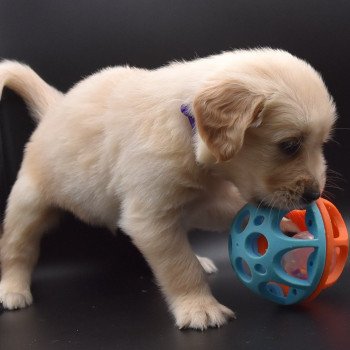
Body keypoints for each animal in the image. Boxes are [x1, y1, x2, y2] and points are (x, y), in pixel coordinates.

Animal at [0, 48, 334, 328]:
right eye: (289, 146)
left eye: (320, 143)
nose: (313, 195)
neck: (188, 127)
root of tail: (55, 107)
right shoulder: (150, 217)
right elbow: (179, 265)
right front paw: (200, 308)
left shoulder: (205, 200)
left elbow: (219, 218)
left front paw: (289, 222)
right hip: (29, 200)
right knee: (18, 246)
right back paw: (12, 288)